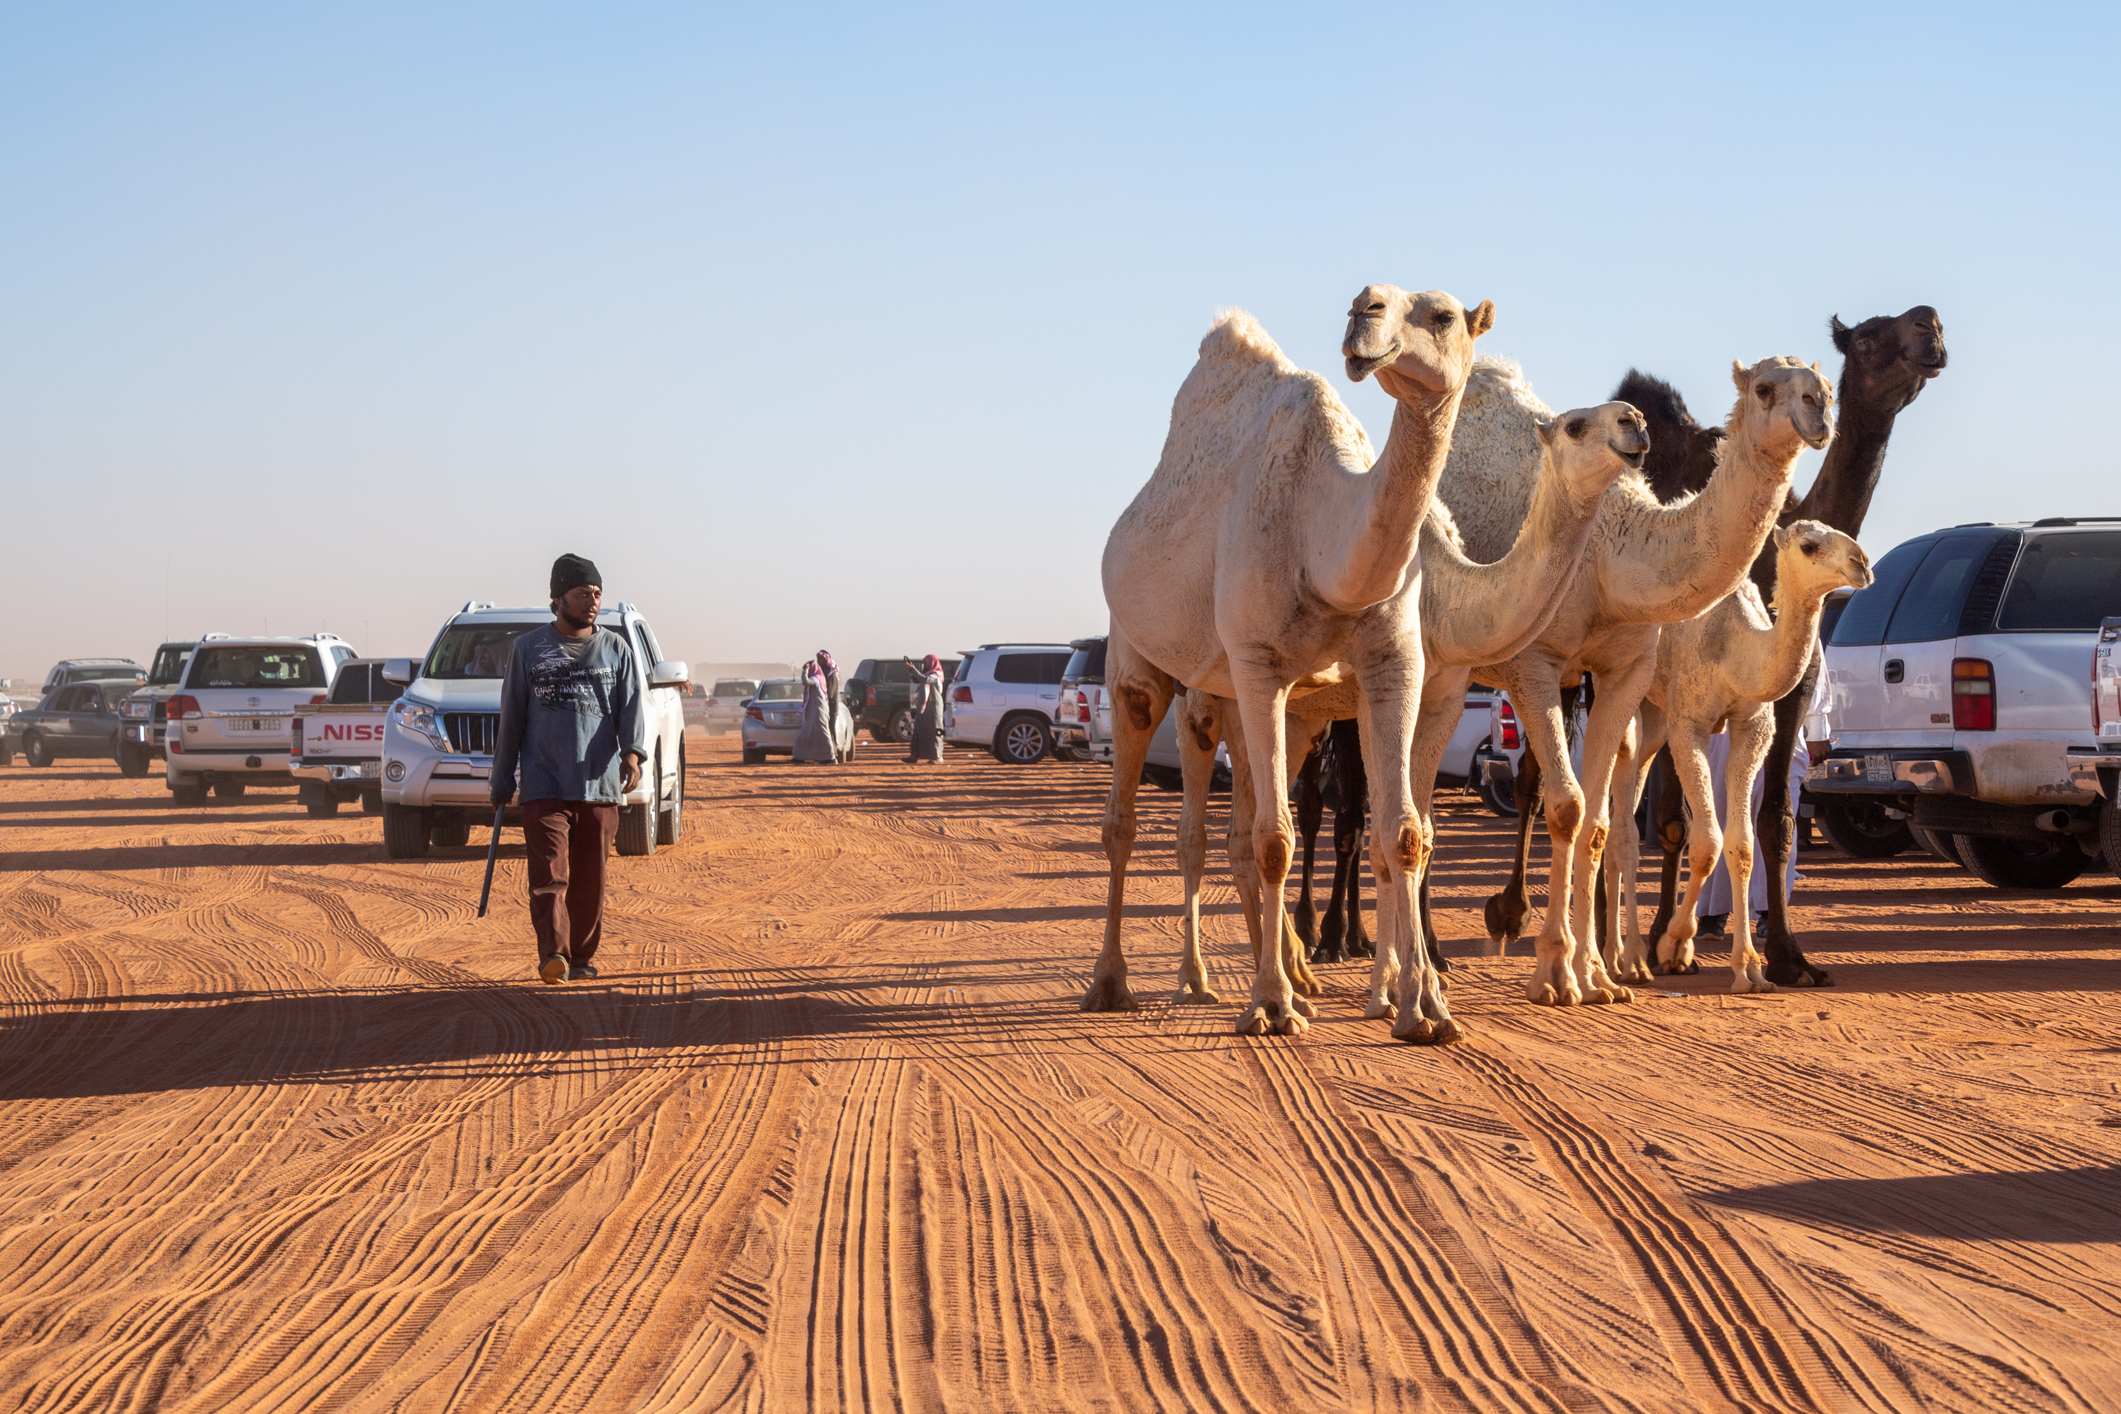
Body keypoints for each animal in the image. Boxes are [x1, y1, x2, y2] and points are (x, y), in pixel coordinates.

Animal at [1090, 286, 1492, 1040]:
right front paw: (1271, 1009)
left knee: (1233, 833)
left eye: (1444, 315)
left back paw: (1269, 980)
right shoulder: (1257, 663)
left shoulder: (1392, 663)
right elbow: (1275, 839)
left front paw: (1424, 1010)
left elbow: (1403, 834)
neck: (1321, 536)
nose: (1365, 309)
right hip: (1134, 653)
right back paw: (1116, 983)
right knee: (1125, 815)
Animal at [1406, 354, 1834, 1013]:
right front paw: (1556, 972)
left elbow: (1599, 822)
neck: (1615, 553)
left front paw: (1597, 975)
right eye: (1766, 388)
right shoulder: (1535, 663)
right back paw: (1397, 952)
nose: (1819, 408)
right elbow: (1567, 807)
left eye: (1824, 384)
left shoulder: (1625, 671)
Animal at [1604, 520, 1874, 993]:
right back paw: (1624, 955)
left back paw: (1623, 954)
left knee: (1627, 804)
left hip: (1653, 715)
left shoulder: (1752, 726)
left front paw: (1750, 969)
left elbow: (1742, 844)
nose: (1862, 563)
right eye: (1809, 545)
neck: (1734, 650)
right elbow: (1706, 843)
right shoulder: (1689, 723)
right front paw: (1675, 946)